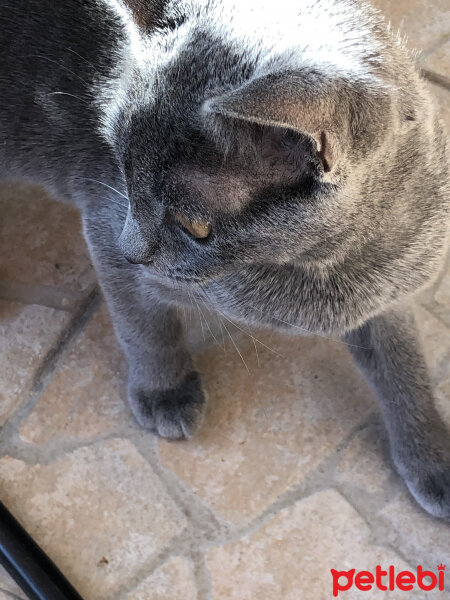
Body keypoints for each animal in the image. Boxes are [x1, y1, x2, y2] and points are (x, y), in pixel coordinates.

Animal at [0, 0, 450, 516]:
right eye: (123, 172)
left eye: (194, 225)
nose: (131, 249)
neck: (330, 269)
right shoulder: (104, 224)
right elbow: (144, 327)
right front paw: (166, 393)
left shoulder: (391, 299)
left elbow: (405, 370)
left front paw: (433, 459)